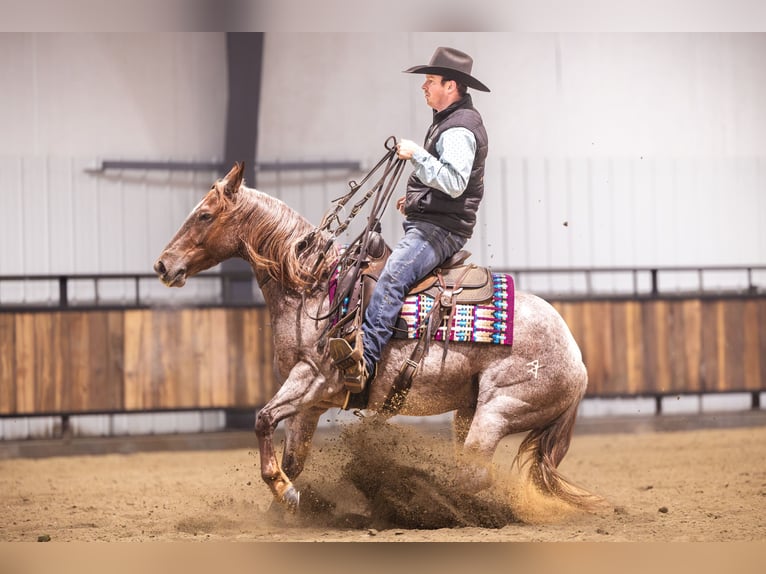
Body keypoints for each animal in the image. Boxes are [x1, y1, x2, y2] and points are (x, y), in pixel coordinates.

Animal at [154, 162, 599, 513]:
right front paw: (284, 506)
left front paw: (287, 493)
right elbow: (293, 457)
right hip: (469, 412)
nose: (162, 265)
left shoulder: (315, 376)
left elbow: (263, 420)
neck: (314, 285)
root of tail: (578, 362)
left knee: (473, 474)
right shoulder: (312, 402)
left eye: (204, 215)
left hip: (498, 410)